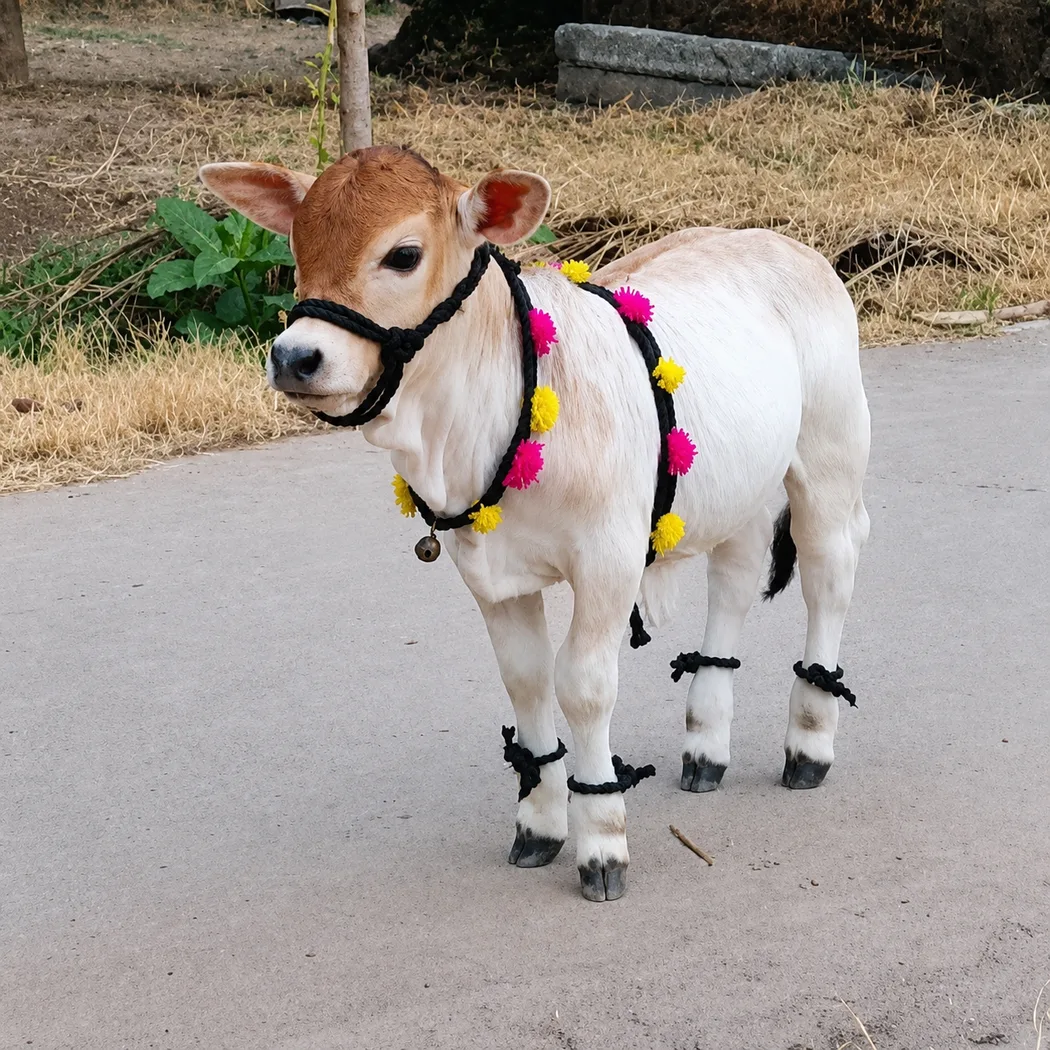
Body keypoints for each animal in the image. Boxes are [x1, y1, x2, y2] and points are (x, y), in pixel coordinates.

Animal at [199, 145, 870, 902]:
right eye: (297, 245)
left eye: (403, 255)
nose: (295, 357)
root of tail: (783, 244)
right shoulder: (491, 574)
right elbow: (527, 682)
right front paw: (540, 824)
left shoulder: (608, 560)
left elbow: (582, 685)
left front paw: (602, 842)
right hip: (740, 487)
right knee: (735, 577)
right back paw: (705, 747)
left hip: (830, 454)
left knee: (829, 571)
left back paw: (808, 744)